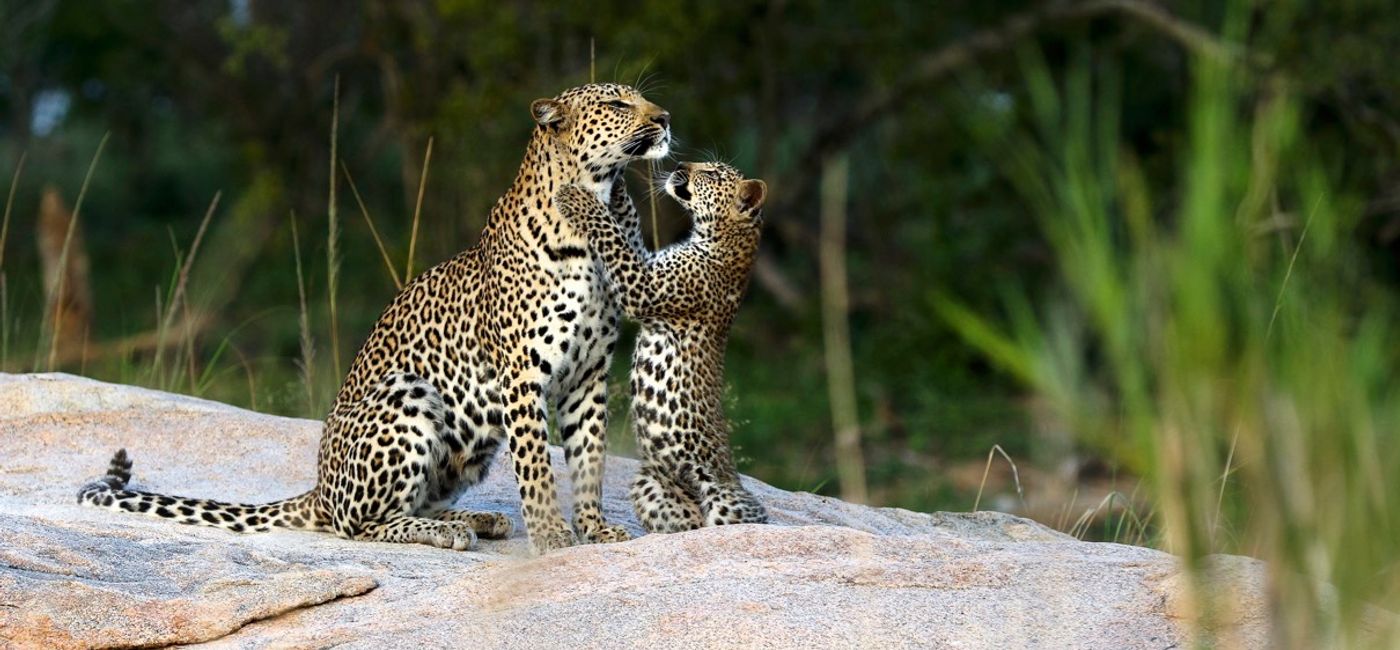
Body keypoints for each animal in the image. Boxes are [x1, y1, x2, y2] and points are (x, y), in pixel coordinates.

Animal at [78, 83, 672, 554]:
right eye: (618, 104)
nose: (665, 118)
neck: (603, 201)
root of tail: (319, 489)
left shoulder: (589, 374)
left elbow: (589, 459)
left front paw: (596, 529)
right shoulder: (522, 374)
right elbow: (537, 468)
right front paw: (551, 535)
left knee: (410, 505)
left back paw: (475, 518)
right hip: (406, 395)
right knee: (362, 524)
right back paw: (447, 531)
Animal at [553, 161, 769, 533]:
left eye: (711, 174)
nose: (681, 165)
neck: (723, 238)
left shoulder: (643, 287)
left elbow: (611, 236)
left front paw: (580, 201)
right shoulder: (645, 263)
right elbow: (627, 231)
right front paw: (618, 187)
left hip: (725, 498)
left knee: (736, 520)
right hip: (649, 482)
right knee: (687, 522)